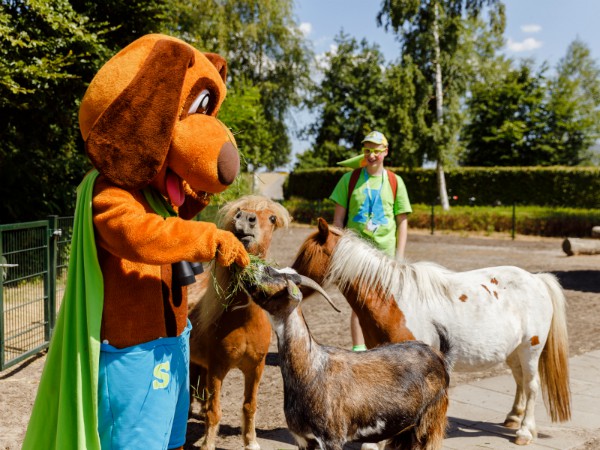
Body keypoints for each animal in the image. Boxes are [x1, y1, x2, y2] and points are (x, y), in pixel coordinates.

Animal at [188, 196, 290, 450]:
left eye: (272, 218)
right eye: (238, 210)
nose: (245, 218)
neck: (244, 322)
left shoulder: (255, 369)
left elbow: (249, 407)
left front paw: (251, 442)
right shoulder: (217, 369)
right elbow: (215, 412)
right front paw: (208, 444)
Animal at [246, 268, 452, 450]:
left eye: (273, 276)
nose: (251, 269)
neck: (311, 369)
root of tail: (438, 356)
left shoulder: (332, 438)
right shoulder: (303, 439)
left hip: (431, 420)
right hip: (405, 429)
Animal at [292, 218, 572, 446]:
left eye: (306, 256)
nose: (289, 278)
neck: (392, 299)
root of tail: (537, 280)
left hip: (530, 349)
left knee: (532, 385)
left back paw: (524, 431)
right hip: (514, 352)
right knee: (520, 381)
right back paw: (513, 417)